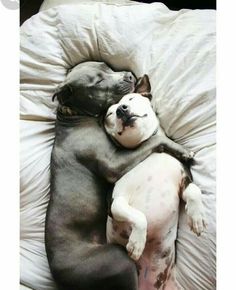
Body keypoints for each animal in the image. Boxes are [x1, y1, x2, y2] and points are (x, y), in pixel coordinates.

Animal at [44, 61, 194, 290]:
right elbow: (153, 141)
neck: (74, 115)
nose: (129, 76)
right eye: (97, 82)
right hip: (118, 260)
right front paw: (181, 150)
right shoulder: (113, 164)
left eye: (106, 65)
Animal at [104, 75, 206, 290]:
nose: (121, 109)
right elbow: (139, 216)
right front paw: (136, 243)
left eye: (131, 98)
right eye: (109, 114)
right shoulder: (115, 202)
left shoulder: (184, 179)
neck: (150, 149)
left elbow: (194, 191)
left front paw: (197, 218)